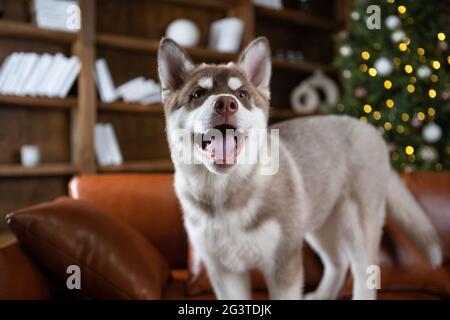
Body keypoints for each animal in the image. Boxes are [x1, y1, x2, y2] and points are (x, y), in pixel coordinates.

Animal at [156, 37, 442, 300]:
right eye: (198, 94)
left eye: (242, 95)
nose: (225, 103)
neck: (224, 193)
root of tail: (370, 128)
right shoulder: (224, 271)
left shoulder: (283, 262)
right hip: (317, 223)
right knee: (338, 262)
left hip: (357, 224)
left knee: (364, 273)